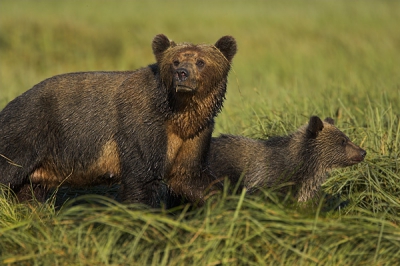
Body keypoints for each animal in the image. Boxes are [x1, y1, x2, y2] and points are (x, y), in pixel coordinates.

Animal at [0, 33, 238, 207]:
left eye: (200, 61)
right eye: (175, 60)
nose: (182, 73)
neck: (178, 112)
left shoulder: (194, 134)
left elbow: (190, 177)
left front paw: (229, 203)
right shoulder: (143, 126)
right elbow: (142, 179)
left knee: (28, 193)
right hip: (27, 133)